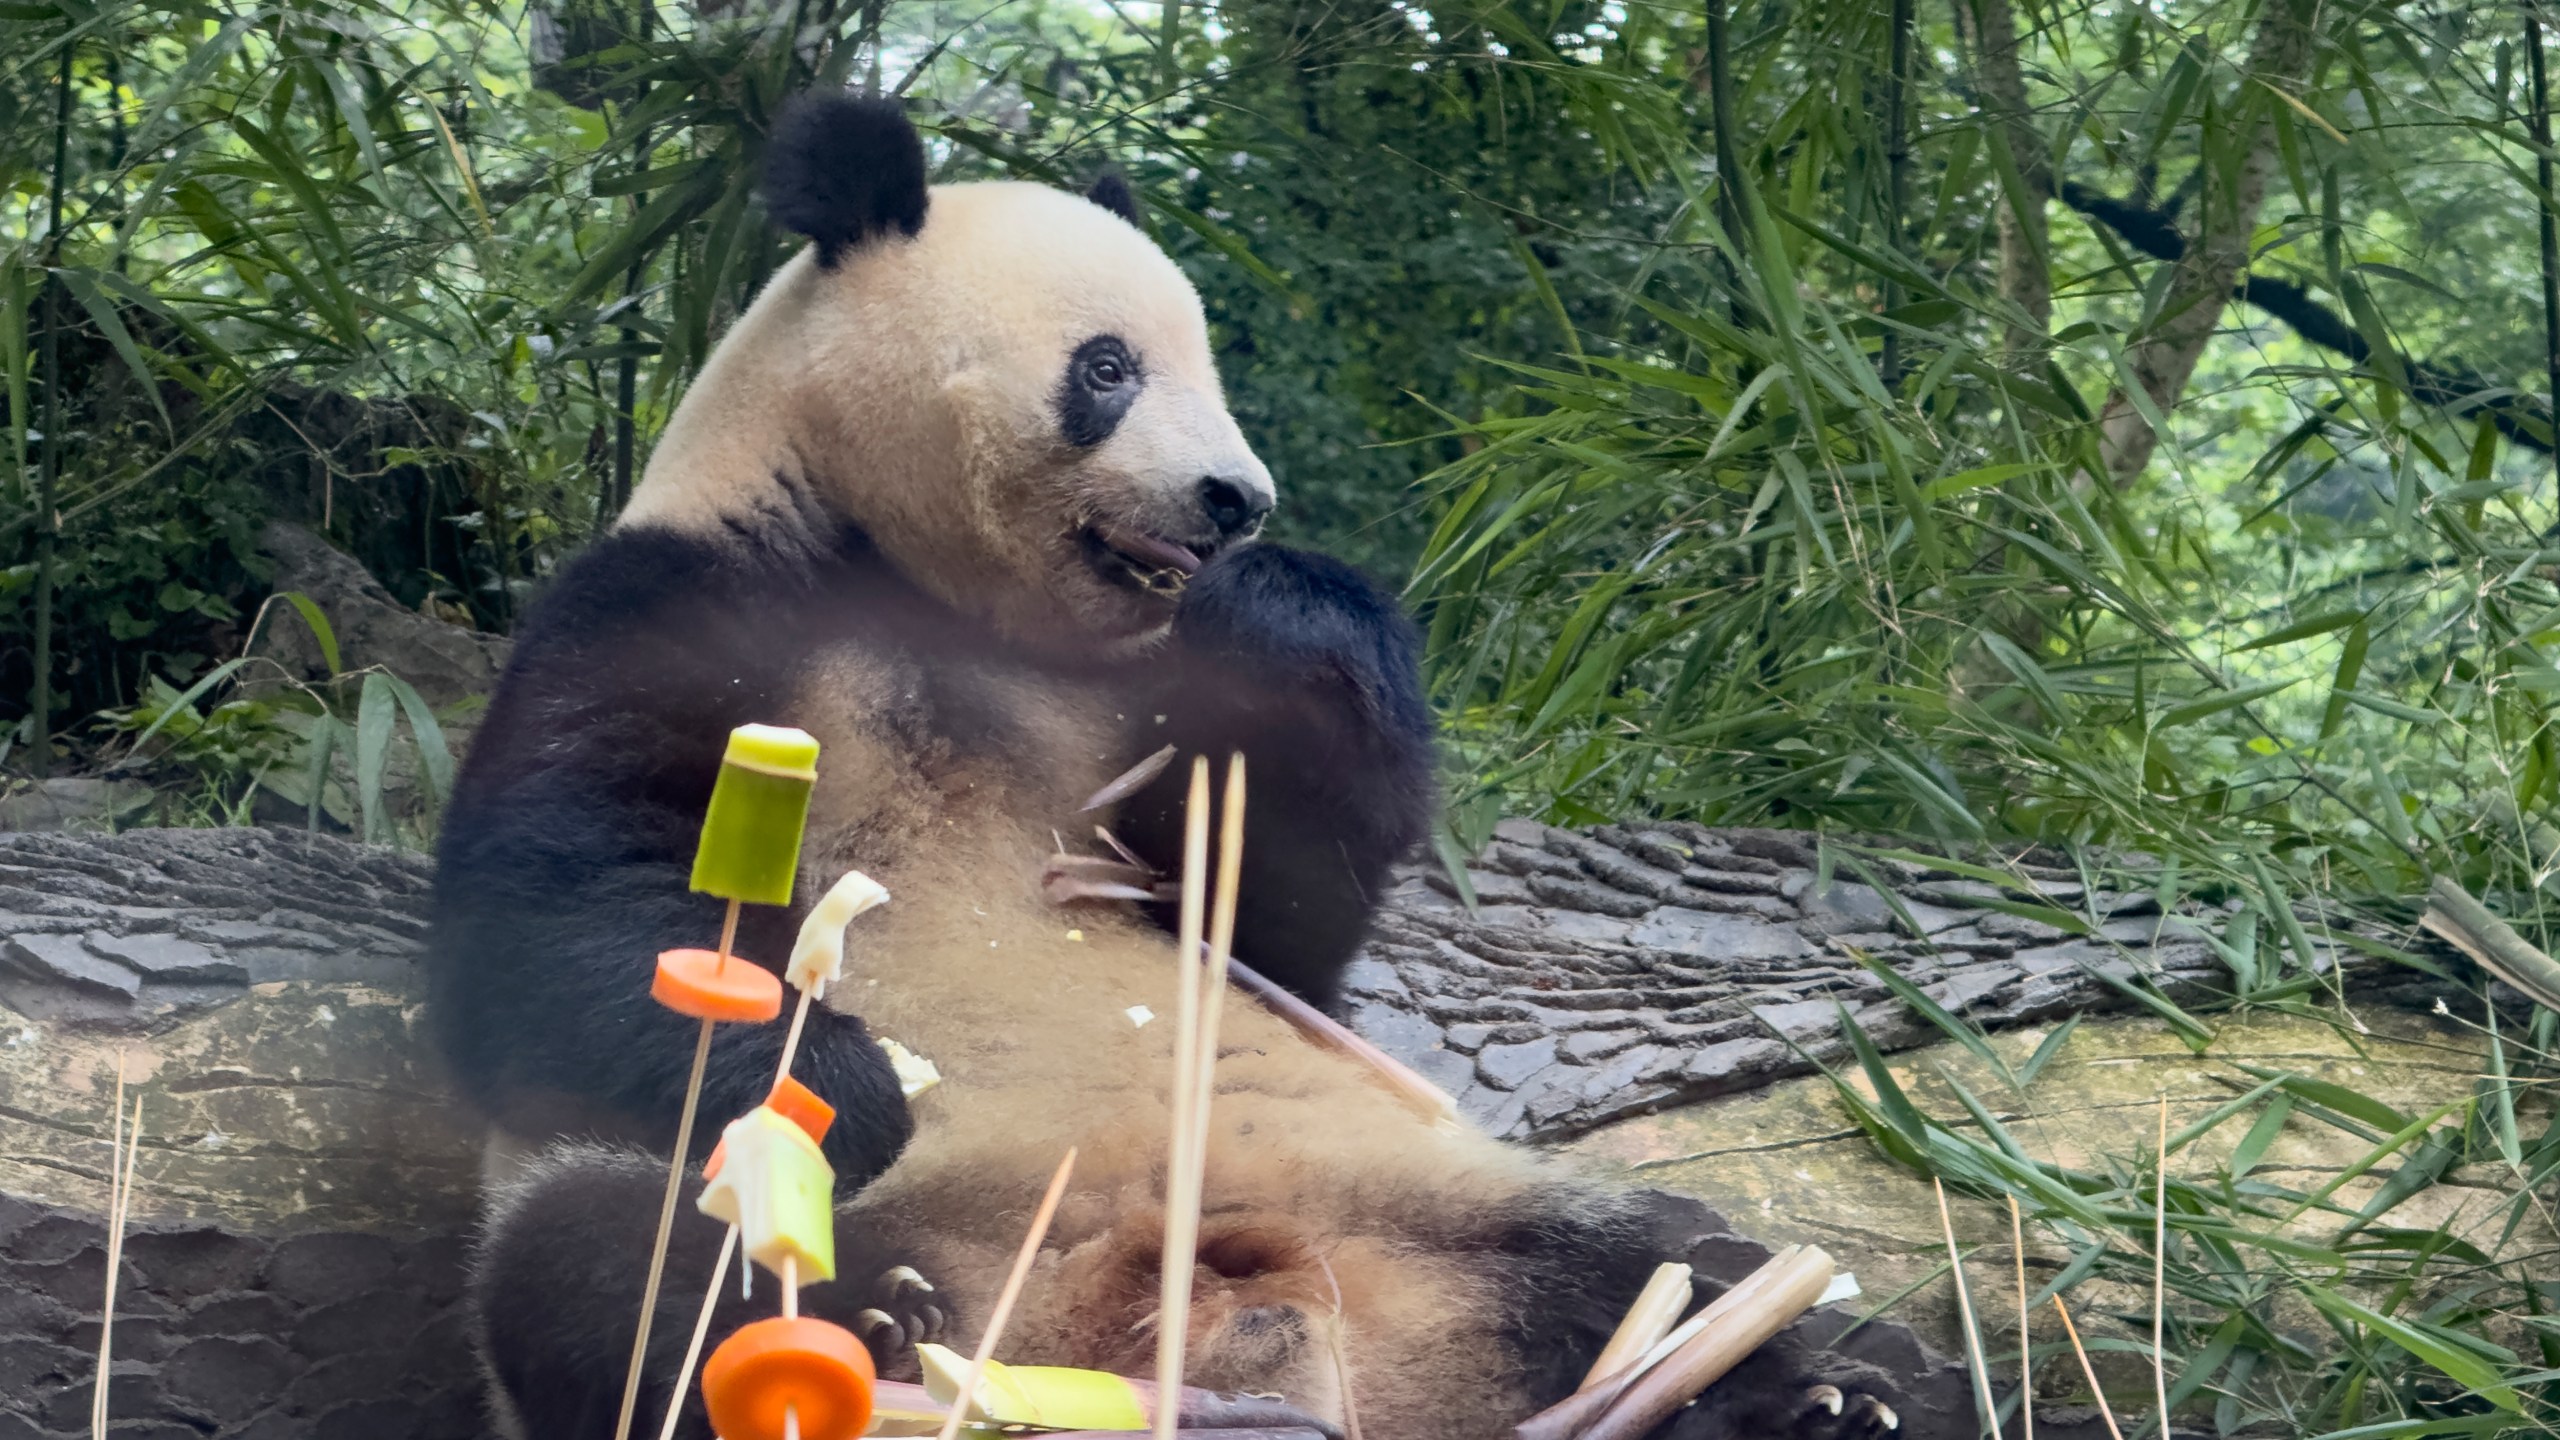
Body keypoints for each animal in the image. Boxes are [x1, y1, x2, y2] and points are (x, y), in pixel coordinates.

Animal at [430, 92, 1914, 1434]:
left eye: (1211, 367)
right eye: (1109, 368)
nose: (1236, 501)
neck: (935, 590)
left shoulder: (1145, 697)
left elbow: (1270, 926)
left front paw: (1285, 610)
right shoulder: (681, 594)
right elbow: (552, 903)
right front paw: (851, 1083)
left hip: (1430, 1200)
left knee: (1668, 1262)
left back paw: (1809, 1394)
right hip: (763, 1204)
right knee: (606, 1263)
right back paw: (866, 1324)